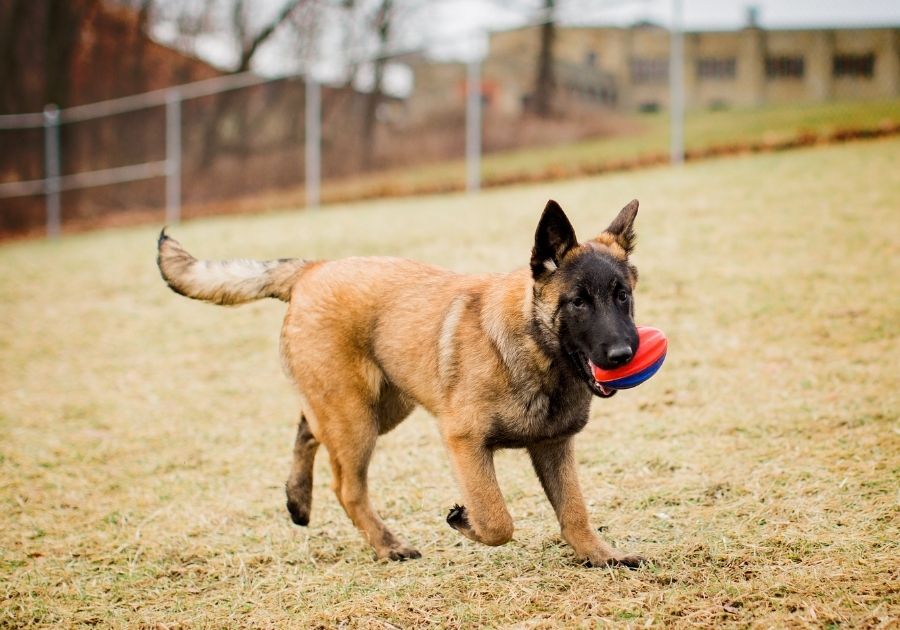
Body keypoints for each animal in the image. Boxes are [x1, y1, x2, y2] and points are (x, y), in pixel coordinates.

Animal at [156, 201, 648, 568]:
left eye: (622, 296)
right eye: (578, 303)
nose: (624, 354)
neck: (535, 348)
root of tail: (313, 268)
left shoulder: (554, 446)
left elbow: (574, 511)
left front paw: (600, 556)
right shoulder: (464, 442)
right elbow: (497, 520)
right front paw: (465, 520)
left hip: (383, 408)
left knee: (307, 427)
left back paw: (298, 500)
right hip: (357, 420)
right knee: (347, 486)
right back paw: (387, 544)